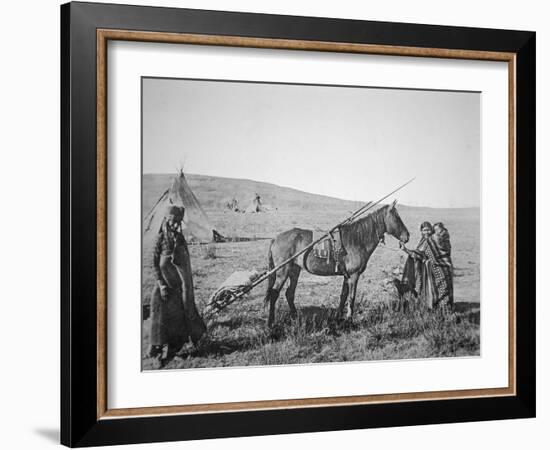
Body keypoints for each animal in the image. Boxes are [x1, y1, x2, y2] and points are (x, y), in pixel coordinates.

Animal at [266, 204, 412, 326]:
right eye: (397, 217)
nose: (407, 236)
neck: (357, 240)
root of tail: (275, 238)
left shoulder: (346, 276)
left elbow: (343, 296)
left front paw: (338, 318)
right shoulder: (354, 275)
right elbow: (352, 297)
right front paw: (349, 319)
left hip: (294, 271)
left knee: (289, 293)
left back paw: (295, 317)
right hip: (283, 272)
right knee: (274, 293)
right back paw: (271, 322)